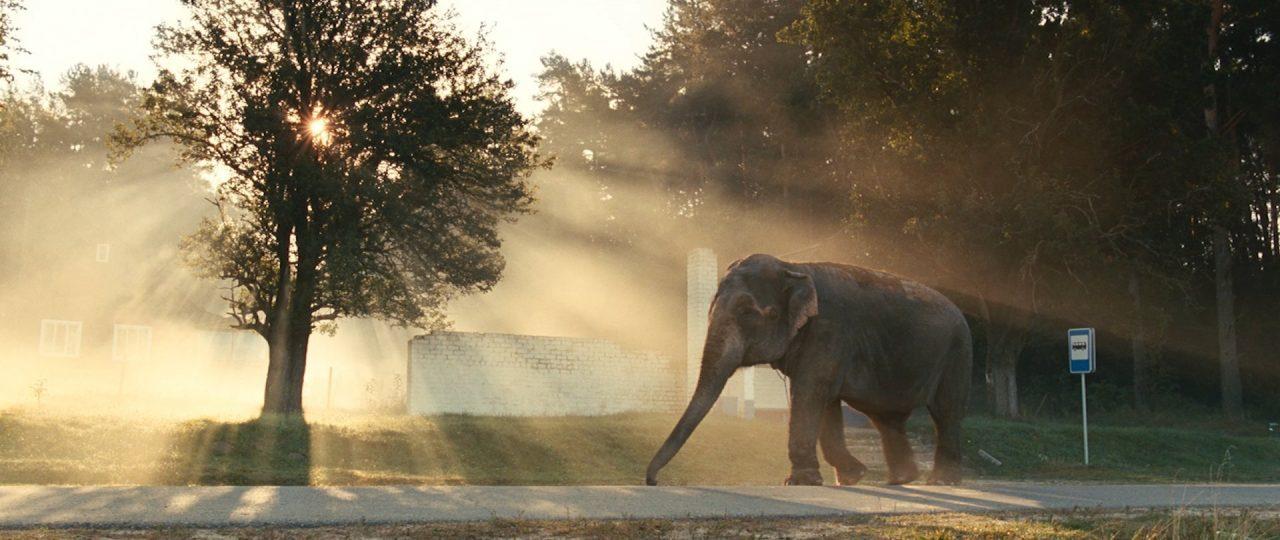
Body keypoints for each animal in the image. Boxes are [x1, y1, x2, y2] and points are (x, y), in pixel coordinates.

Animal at [646, 253, 972, 486]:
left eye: (747, 312)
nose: (653, 481)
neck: (794, 268)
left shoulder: (829, 330)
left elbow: (810, 392)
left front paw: (800, 482)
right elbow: (824, 401)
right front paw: (851, 477)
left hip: (957, 353)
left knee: (945, 411)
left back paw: (941, 481)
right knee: (884, 417)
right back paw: (901, 480)